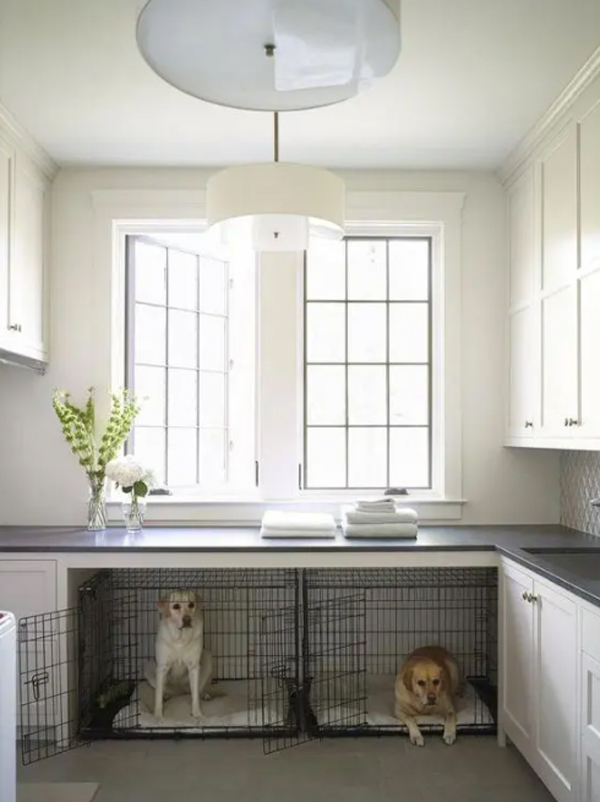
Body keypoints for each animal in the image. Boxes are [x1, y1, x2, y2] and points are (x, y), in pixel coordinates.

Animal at [149, 588, 214, 720]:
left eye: (191, 605)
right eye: (176, 606)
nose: (187, 619)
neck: (181, 638)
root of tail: (180, 691)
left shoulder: (194, 667)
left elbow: (195, 696)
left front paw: (197, 714)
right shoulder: (162, 667)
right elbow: (158, 696)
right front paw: (158, 716)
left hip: (208, 657)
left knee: (198, 689)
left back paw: (204, 695)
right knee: (162, 690)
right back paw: (166, 695)